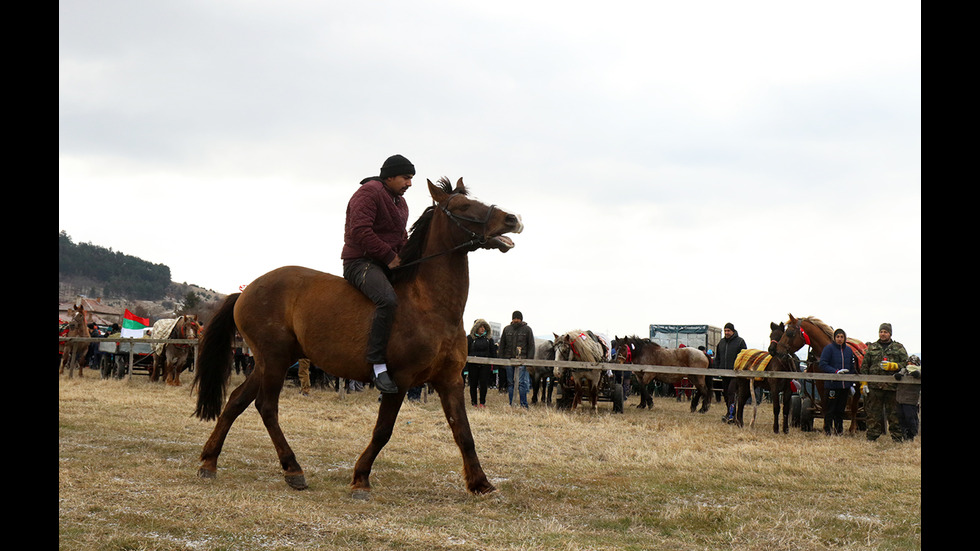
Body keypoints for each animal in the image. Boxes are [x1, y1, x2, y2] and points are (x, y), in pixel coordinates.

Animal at [194, 179, 524, 498]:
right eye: (464, 206)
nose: (513, 219)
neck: (431, 305)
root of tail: (245, 291)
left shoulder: (451, 380)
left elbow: (463, 433)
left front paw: (481, 484)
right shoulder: (399, 380)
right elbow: (383, 431)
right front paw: (361, 479)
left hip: (270, 361)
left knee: (236, 401)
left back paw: (209, 462)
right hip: (273, 360)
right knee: (266, 407)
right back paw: (293, 470)